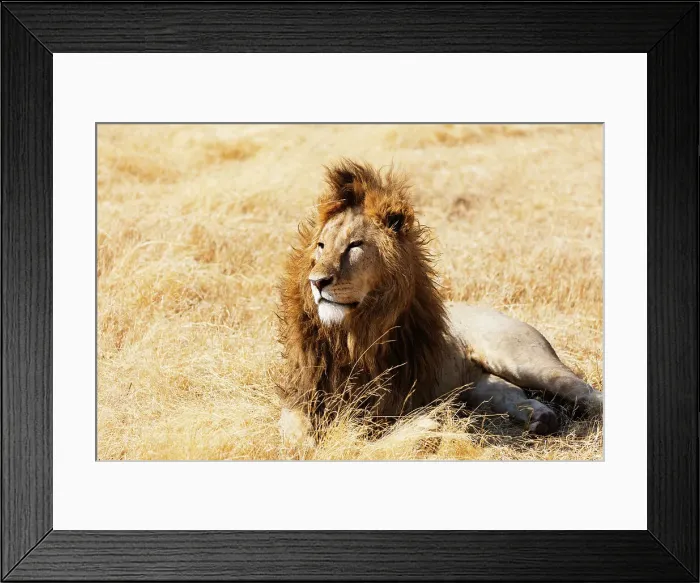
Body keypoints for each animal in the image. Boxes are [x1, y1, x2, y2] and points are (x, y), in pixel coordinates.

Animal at [276, 160, 603, 447]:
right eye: (321, 246)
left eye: (355, 245)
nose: (316, 282)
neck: (351, 335)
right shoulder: (302, 394)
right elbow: (295, 433)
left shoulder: (385, 405)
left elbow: (363, 437)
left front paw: (423, 429)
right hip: (474, 385)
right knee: (510, 391)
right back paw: (541, 417)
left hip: (524, 360)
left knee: (585, 391)